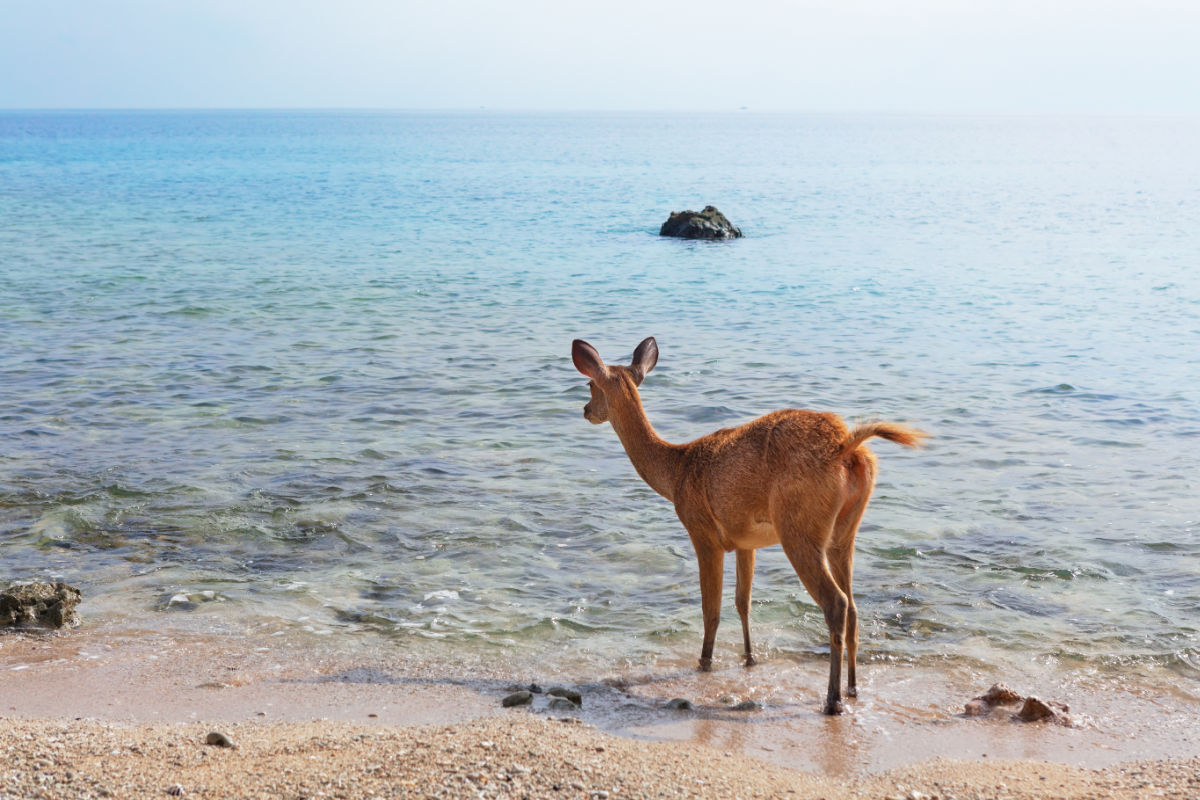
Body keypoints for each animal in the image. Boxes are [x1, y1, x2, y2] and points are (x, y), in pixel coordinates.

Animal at [571, 335, 926, 714]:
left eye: (591, 384)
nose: (586, 410)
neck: (676, 472)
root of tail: (848, 448)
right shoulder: (745, 541)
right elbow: (743, 602)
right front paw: (750, 658)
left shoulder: (702, 533)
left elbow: (710, 609)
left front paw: (704, 663)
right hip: (844, 533)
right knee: (855, 608)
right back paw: (854, 688)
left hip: (799, 528)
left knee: (836, 603)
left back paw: (832, 700)